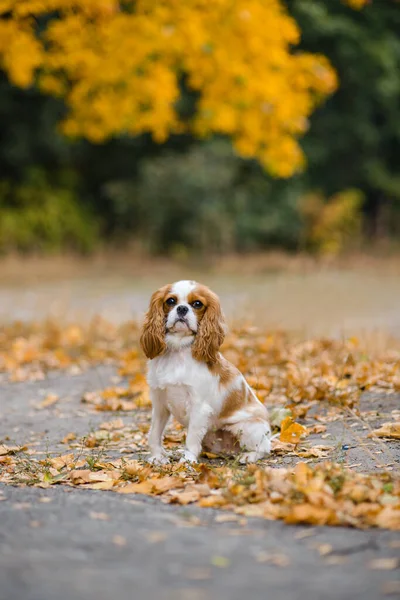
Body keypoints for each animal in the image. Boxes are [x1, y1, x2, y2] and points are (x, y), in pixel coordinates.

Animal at [140, 280, 272, 464]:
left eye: (197, 304)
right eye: (171, 301)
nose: (182, 308)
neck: (179, 350)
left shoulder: (198, 406)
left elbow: (191, 439)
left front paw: (187, 461)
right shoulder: (159, 403)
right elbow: (154, 433)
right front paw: (157, 457)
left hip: (247, 428)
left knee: (265, 448)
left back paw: (248, 456)